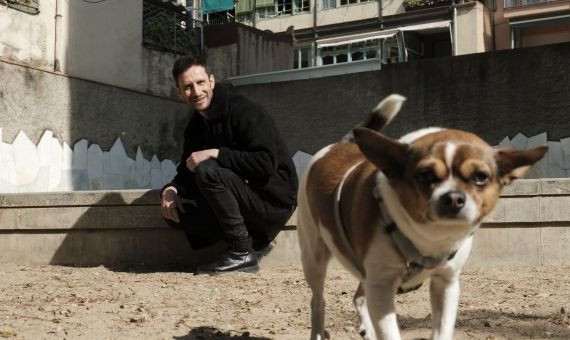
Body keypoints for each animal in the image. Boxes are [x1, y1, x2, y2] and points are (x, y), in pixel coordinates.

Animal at [296, 94, 544, 340]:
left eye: (480, 177)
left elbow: (442, 329)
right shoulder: (381, 286)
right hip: (314, 258)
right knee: (318, 301)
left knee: (359, 296)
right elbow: (390, 333)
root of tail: (340, 145)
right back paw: (318, 330)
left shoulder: (446, 283)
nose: (454, 197)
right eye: (425, 175)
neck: (430, 238)